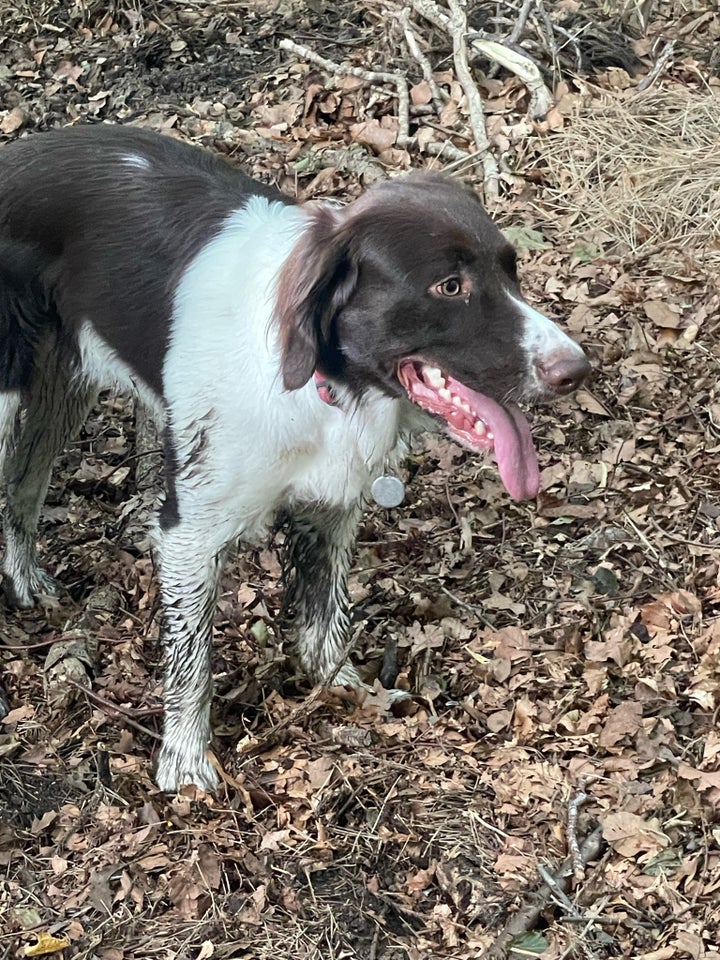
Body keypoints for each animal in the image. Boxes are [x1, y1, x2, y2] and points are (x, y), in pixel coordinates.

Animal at [0, 124, 592, 792]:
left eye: (511, 272)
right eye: (449, 286)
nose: (578, 370)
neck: (318, 384)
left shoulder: (331, 504)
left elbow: (324, 616)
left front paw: (345, 689)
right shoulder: (189, 533)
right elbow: (192, 660)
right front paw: (185, 761)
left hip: (64, 385)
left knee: (23, 486)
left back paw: (27, 581)